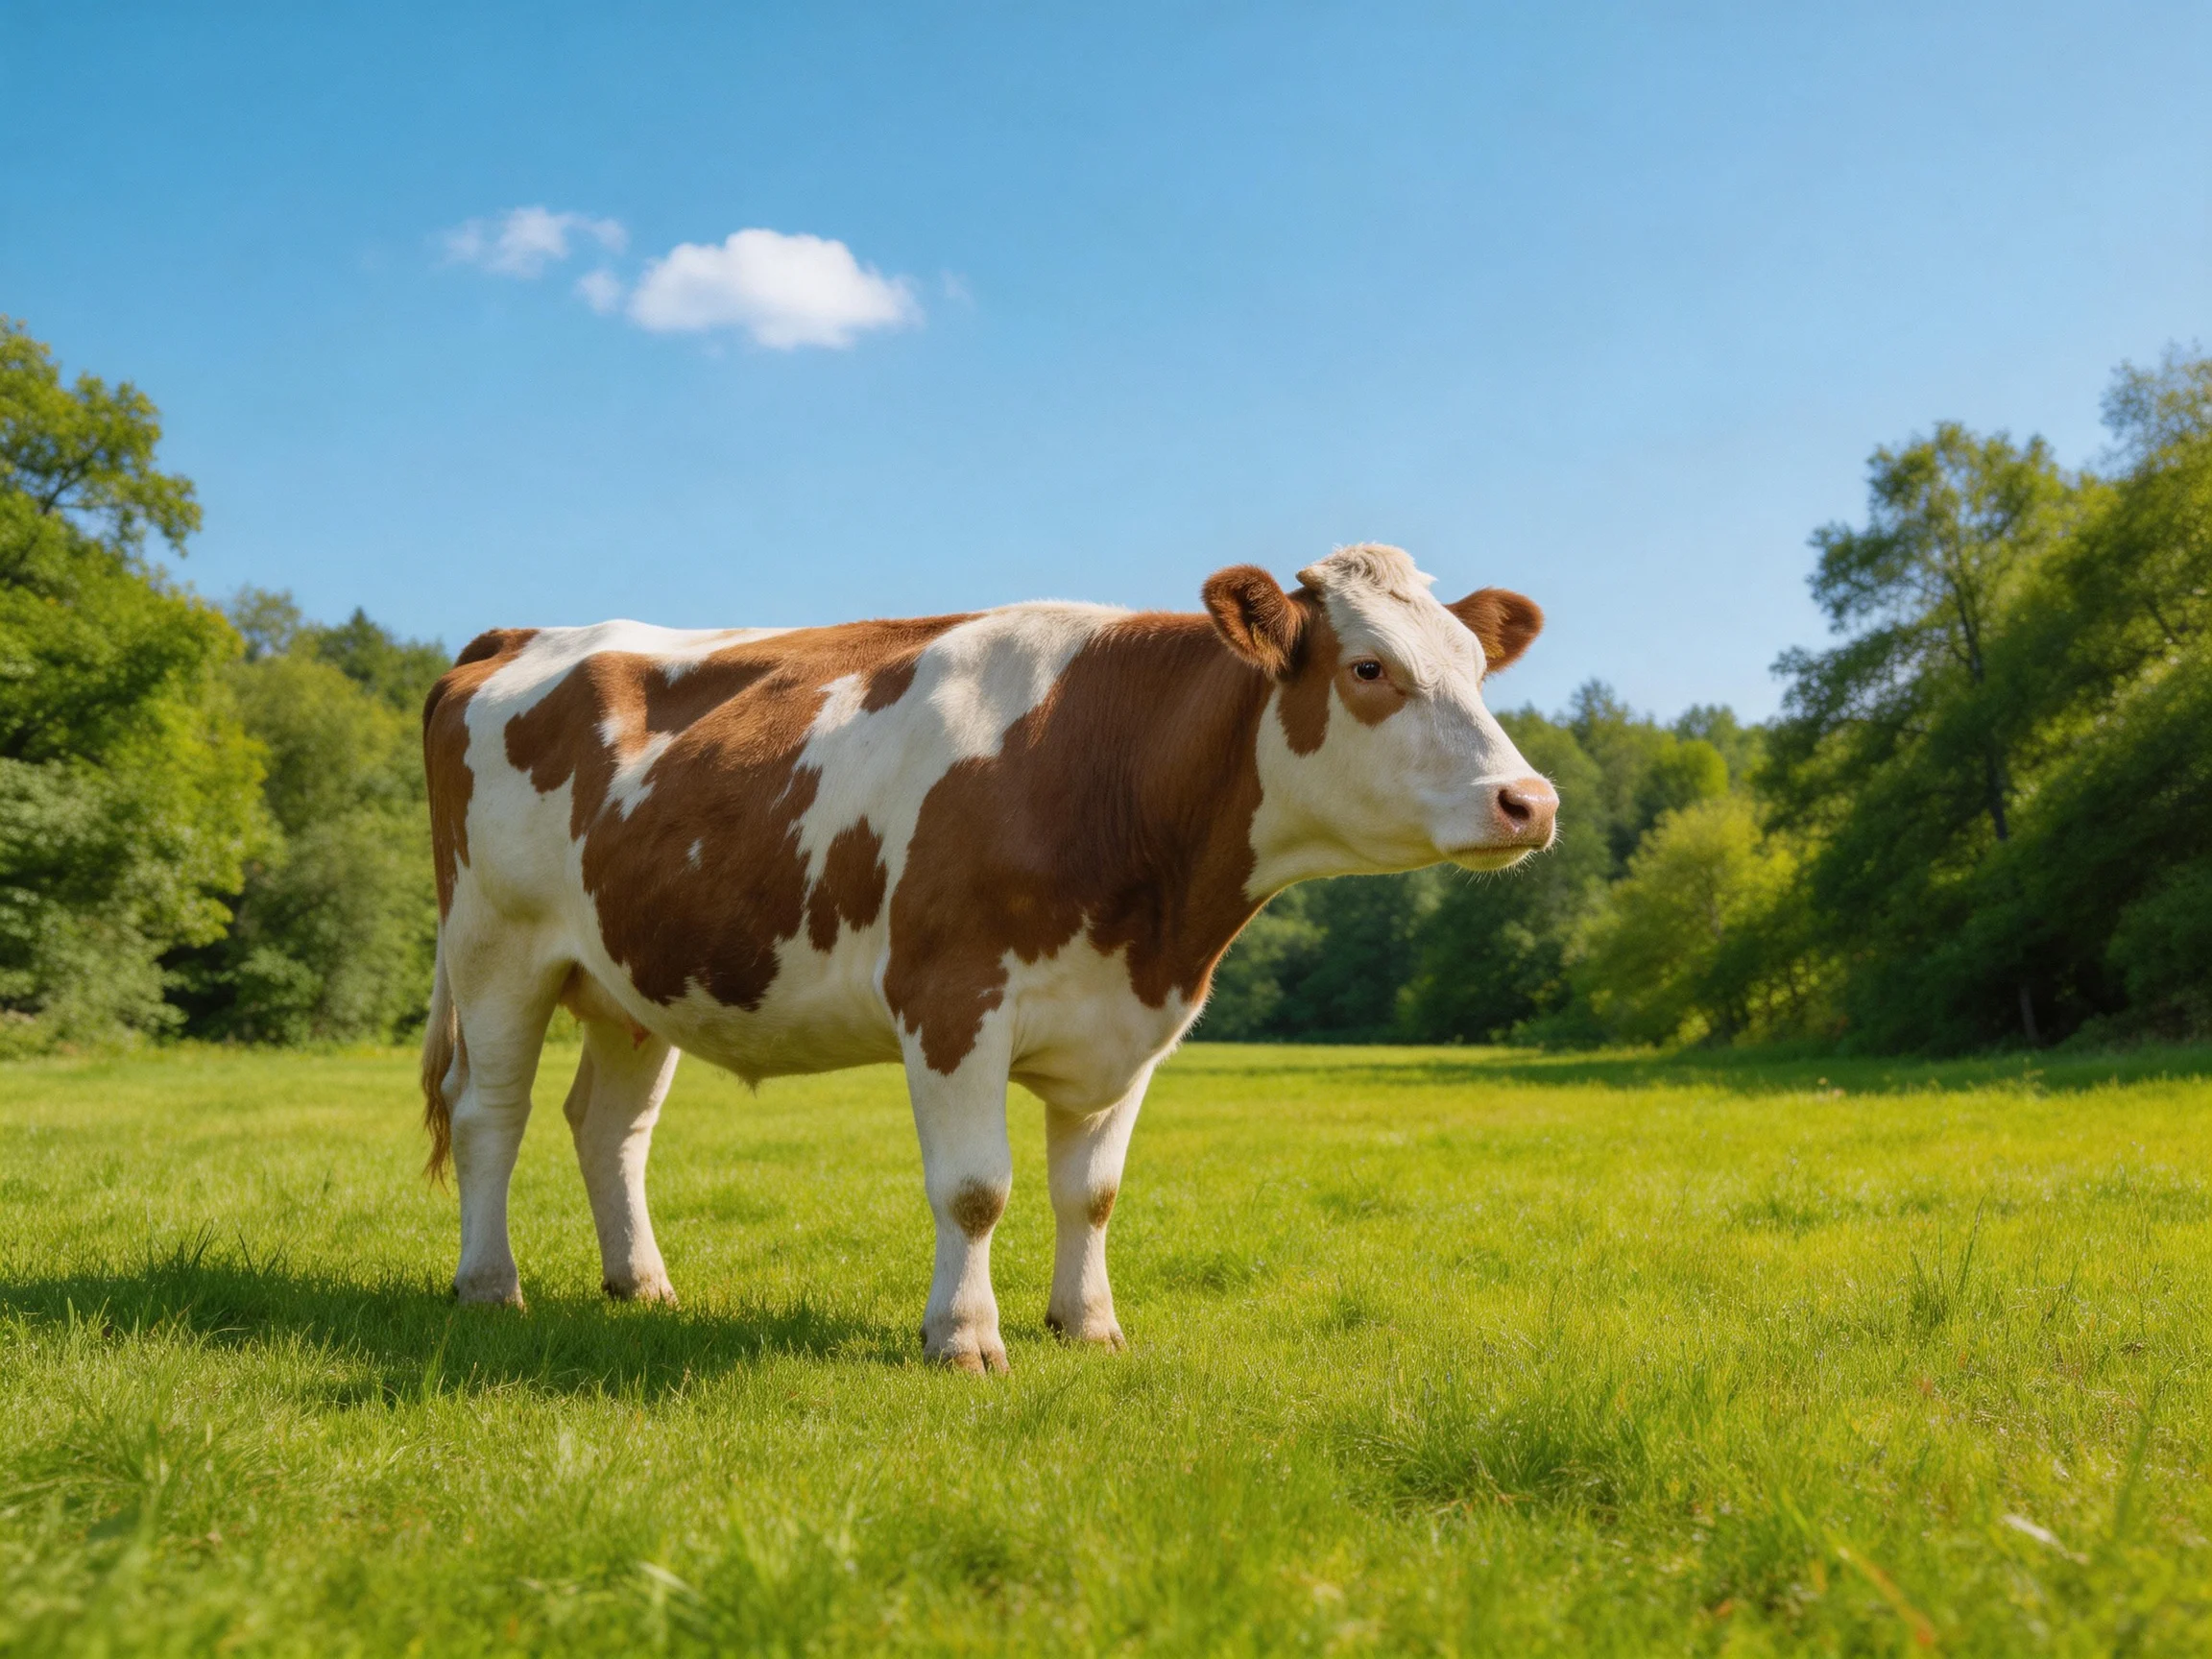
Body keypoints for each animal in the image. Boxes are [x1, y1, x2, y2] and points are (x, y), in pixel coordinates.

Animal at [418, 543, 1556, 1372]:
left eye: (1474, 670)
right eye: (1369, 668)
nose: (1531, 800)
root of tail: (528, 633)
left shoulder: (1126, 1025)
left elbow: (1091, 1192)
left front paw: (1088, 1326)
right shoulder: (951, 999)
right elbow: (975, 1188)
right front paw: (964, 1339)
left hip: (631, 977)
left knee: (609, 1127)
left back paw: (641, 1285)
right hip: (495, 945)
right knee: (490, 1114)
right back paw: (490, 1286)